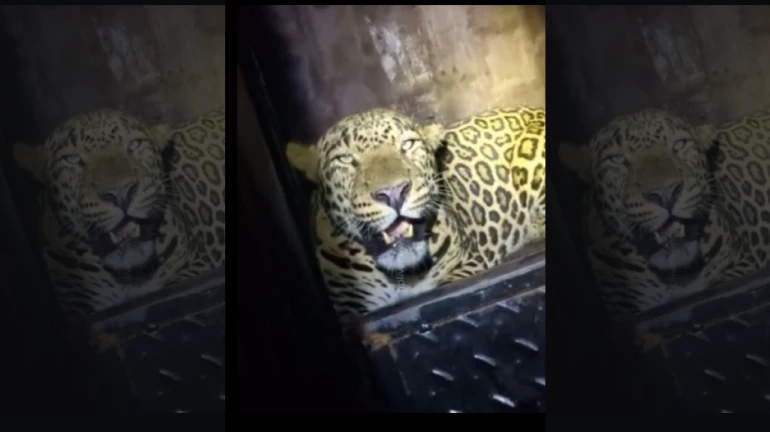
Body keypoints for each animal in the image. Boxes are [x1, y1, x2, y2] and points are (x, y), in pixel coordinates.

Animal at [13, 109, 226, 327]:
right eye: (71, 159)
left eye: (134, 145)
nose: (121, 192)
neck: (128, 279)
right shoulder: (77, 308)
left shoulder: (195, 264)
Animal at [558, 108, 770, 323]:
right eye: (616, 159)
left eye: (680, 144)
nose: (666, 193)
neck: (674, 278)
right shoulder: (622, 308)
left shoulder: (741, 264)